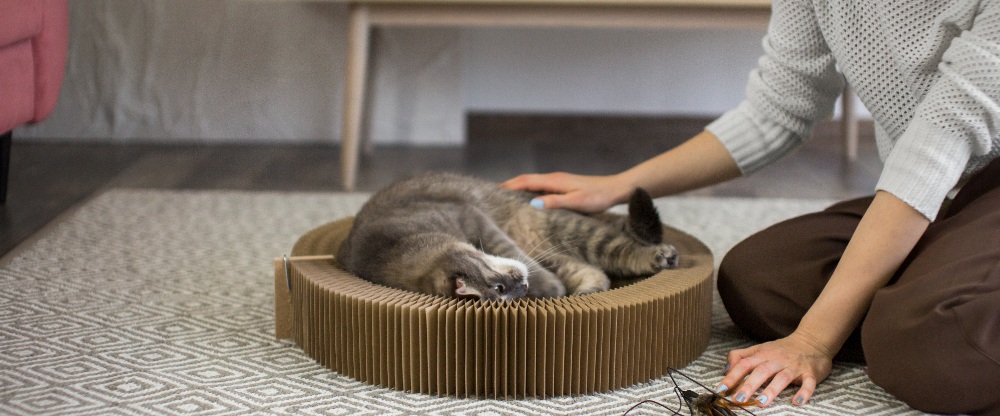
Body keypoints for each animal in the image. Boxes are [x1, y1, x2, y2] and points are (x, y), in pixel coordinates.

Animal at [338, 171, 680, 300]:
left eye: (500, 287)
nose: (523, 287)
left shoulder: (474, 218)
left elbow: (510, 250)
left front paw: (549, 287)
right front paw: (553, 290)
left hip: (570, 229)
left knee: (626, 250)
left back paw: (660, 255)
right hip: (557, 249)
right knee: (595, 271)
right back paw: (586, 291)